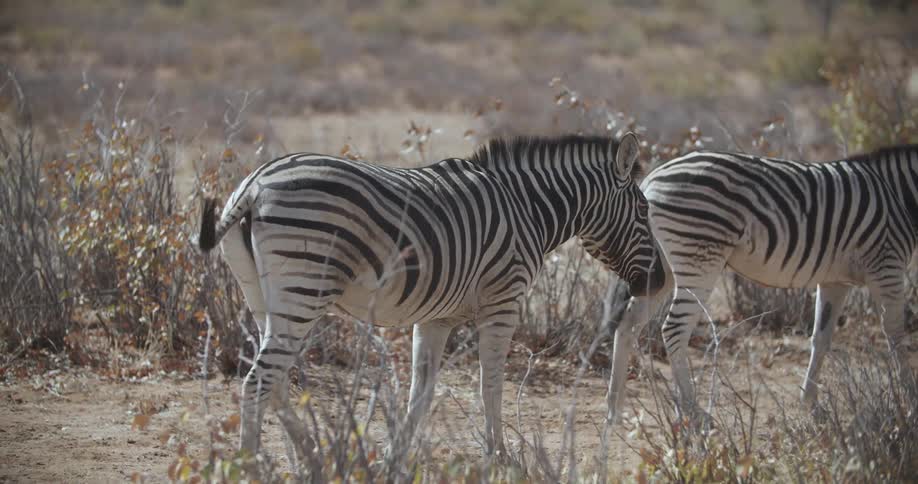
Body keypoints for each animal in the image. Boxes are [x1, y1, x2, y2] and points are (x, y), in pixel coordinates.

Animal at [196, 132, 666, 456]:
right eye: (644, 211)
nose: (660, 280)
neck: (528, 209)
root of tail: (256, 183)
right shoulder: (503, 302)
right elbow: (491, 384)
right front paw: (499, 454)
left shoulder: (436, 316)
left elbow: (421, 391)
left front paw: (395, 453)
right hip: (303, 289)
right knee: (257, 382)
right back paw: (253, 464)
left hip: (264, 296)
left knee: (272, 381)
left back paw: (313, 452)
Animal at [605, 144, 918, 424]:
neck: (901, 194)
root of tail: (652, 179)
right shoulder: (887, 266)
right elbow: (895, 335)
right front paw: (910, 400)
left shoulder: (835, 281)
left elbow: (821, 338)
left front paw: (811, 404)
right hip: (699, 258)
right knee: (673, 330)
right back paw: (695, 413)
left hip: (661, 269)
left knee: (628, 325)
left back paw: (615, 410)